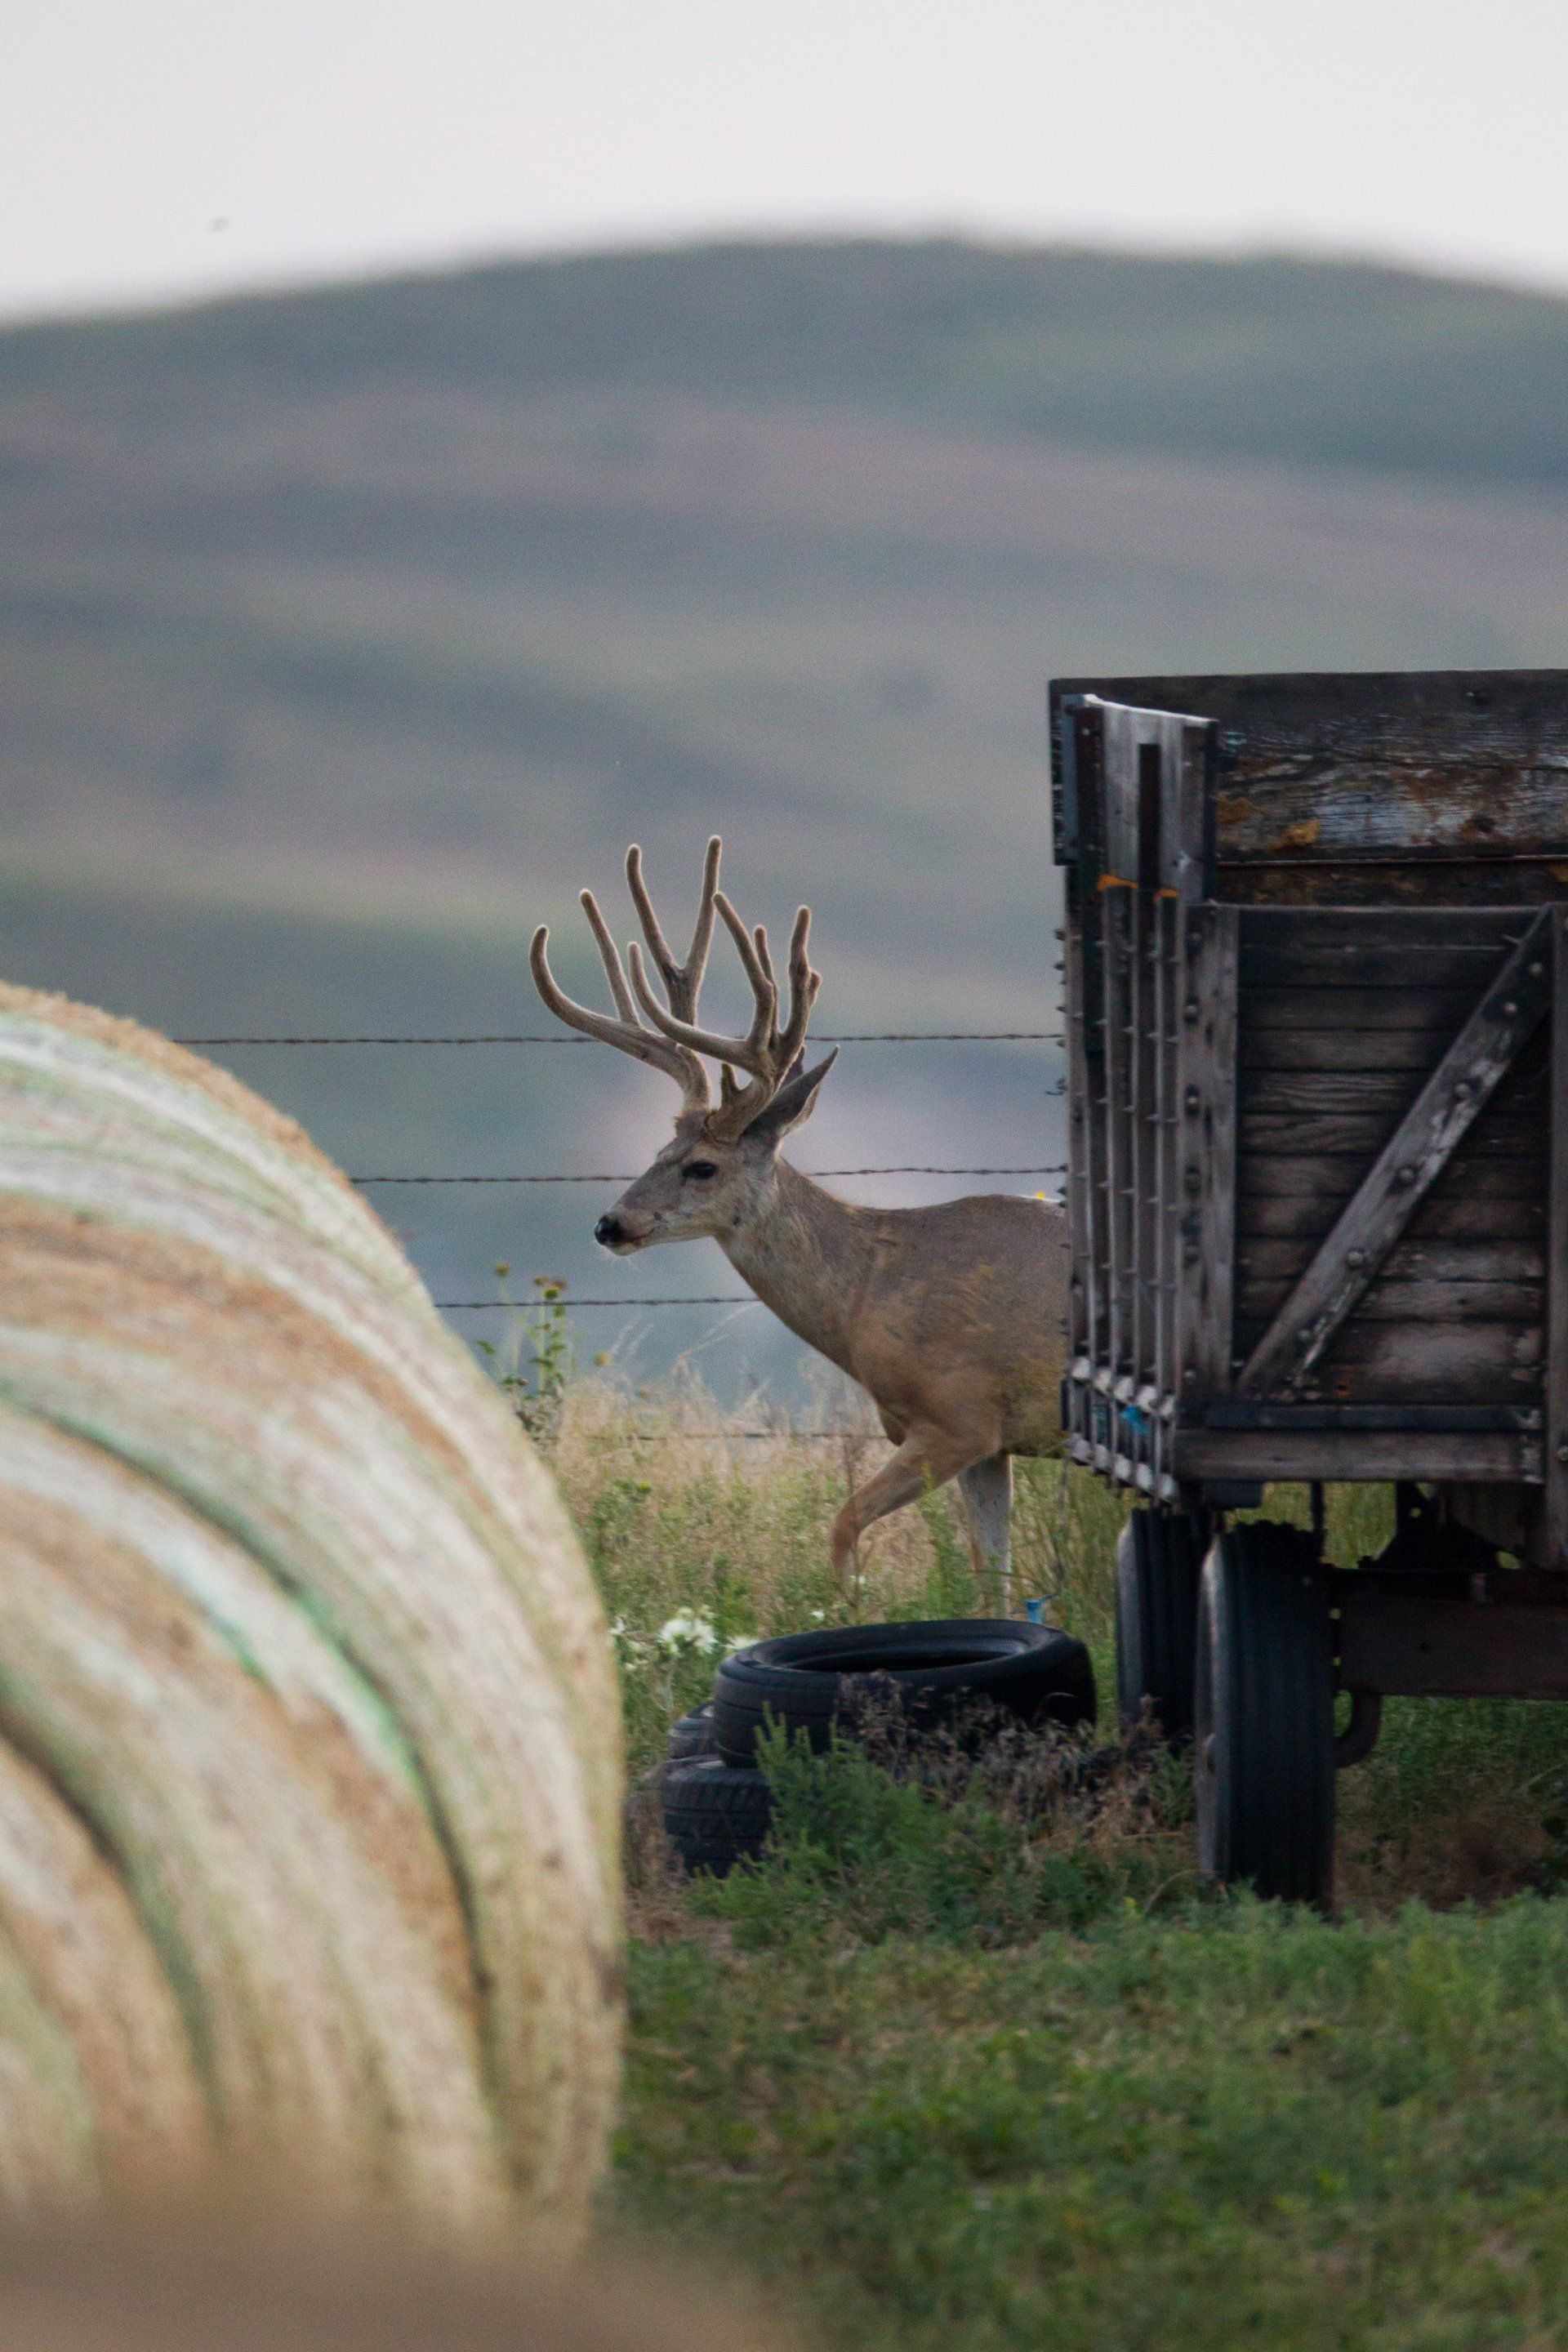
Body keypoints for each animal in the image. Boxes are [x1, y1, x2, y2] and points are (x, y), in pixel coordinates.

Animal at [530, 839, 1068, 1604]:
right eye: (658, 1151)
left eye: (702, 1166)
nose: (611, 1224)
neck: (871, 1291)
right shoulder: (991, 1442)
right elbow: (994, 1578)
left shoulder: (956, 1415)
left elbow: (843, 1525)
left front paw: (848, 1606)